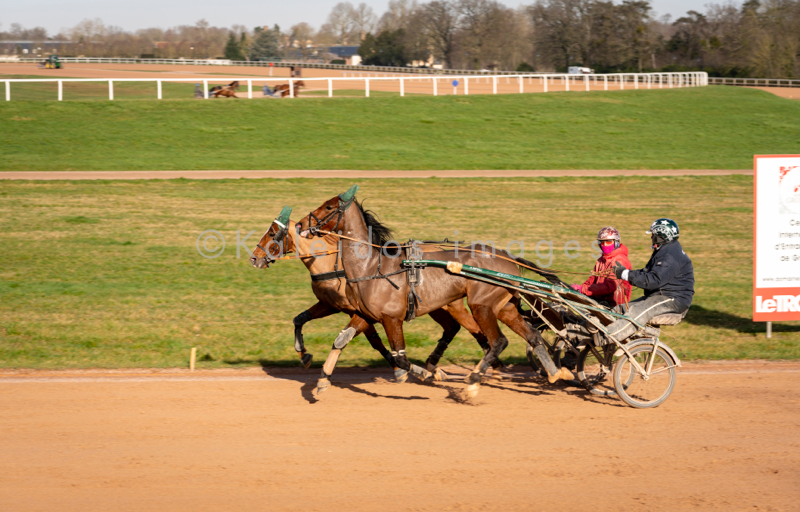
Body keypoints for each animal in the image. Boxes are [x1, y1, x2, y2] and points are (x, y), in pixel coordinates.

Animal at [252, 207, 494, 384]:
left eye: (272, 234)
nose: (254, 258)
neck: (334, 264)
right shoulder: (331, 305)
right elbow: (300, 319)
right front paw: (304, 355)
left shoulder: (357, 310)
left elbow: (374, 341)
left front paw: (399, 370)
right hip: (436, 306)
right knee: (452, 327)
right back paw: (439, 367)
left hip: (452, 305)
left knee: (475, 329)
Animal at [296, 185, 576, 396]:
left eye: (329, 207)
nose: (300, 224)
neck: (372, 268)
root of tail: (508, 258)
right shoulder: (366, 315)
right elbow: (341, 341)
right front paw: (321, 380)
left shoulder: (391, 318)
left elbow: (400, 357)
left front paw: (422, 373)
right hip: (503, 306)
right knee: (532, 335)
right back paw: (555, 372)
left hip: (481, 305)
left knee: (498, 341)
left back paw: (473, 382)